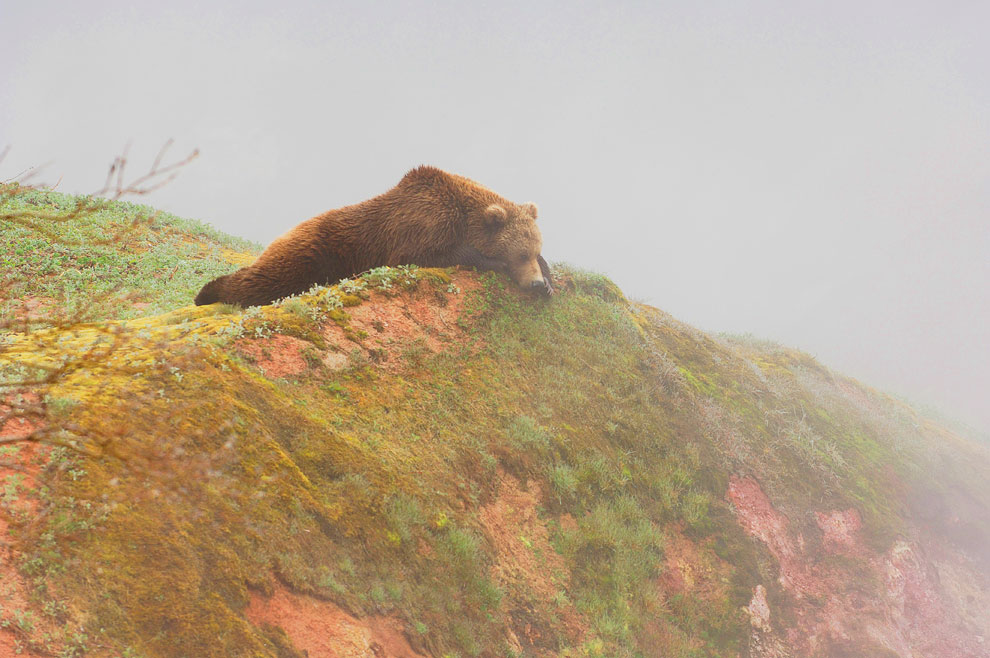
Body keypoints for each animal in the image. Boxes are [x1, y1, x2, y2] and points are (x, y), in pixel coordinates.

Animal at [194, 166, 553, 307]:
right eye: (519, 254)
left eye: (535, 249)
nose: (535, 284)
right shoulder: (420, 225)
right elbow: (429, 254)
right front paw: (490, 261)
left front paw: (550, 279)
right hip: (315, 251)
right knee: (265, 279)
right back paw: (208, 291)